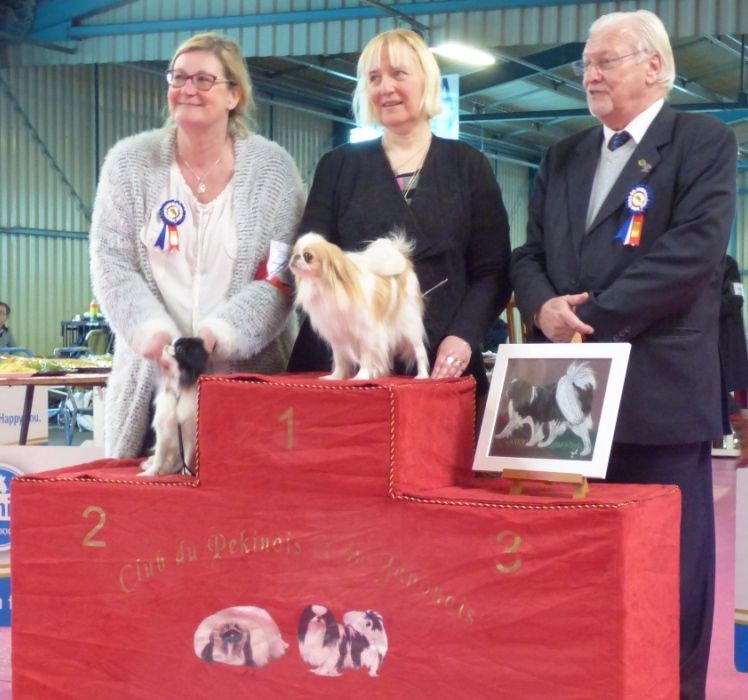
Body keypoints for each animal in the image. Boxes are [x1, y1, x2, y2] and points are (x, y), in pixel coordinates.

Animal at [294, 232, 432, 380]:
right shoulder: (338, 337)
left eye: (308, 256)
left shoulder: (367, 334)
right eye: (294, 252)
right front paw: (335, 377)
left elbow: (366, 357)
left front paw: (362, 376)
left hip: (410, 329)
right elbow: (340, 359)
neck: (327, 287)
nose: (295, 257)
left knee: (420, 352)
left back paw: (422, 375)